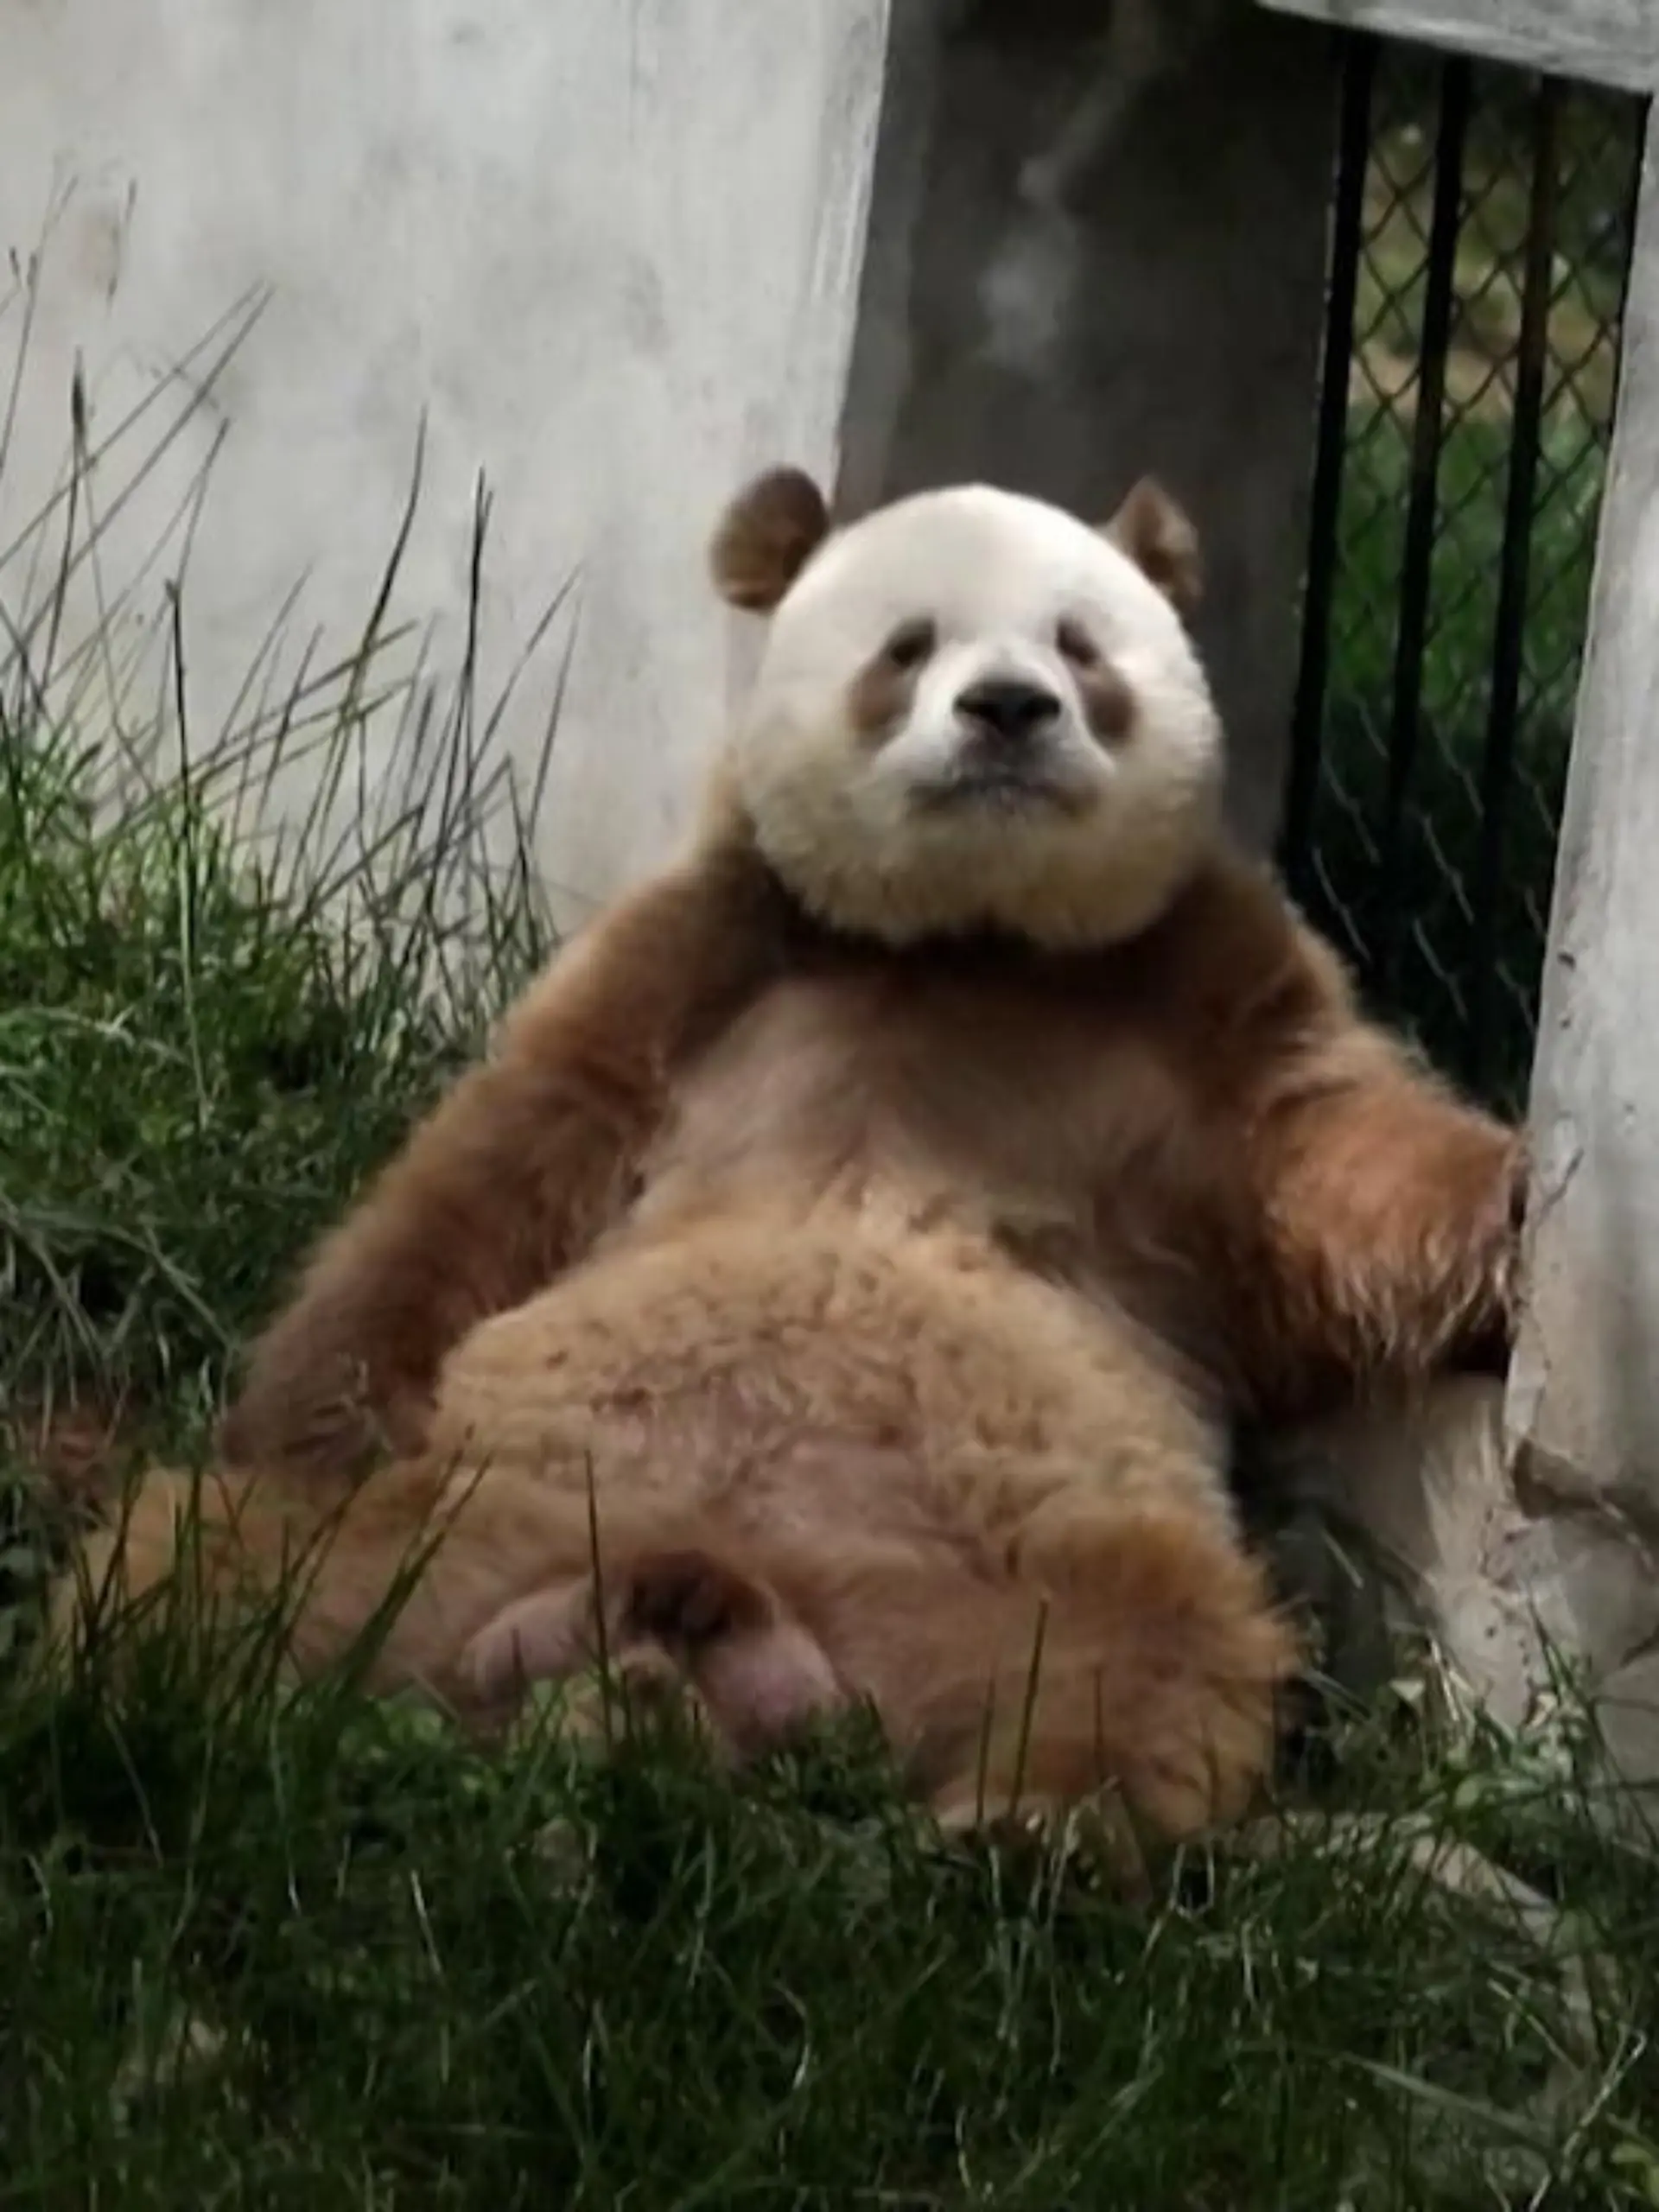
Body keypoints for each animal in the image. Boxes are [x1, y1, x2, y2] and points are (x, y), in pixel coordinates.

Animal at [55, 466, 1522, 1867]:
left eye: (1080, 644)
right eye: (909, 645)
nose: (1008, 710)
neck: (964, 941)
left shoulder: (1195, 990)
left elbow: (1335, 1160)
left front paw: (1518, 1214)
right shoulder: (707, 947)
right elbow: (498, 1160)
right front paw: (307, 1413)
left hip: (1032, 1565)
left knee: (1149, 1664)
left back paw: (1023, 1834)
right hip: (450, 1522)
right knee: (197, 1571)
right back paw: (165, 1713)